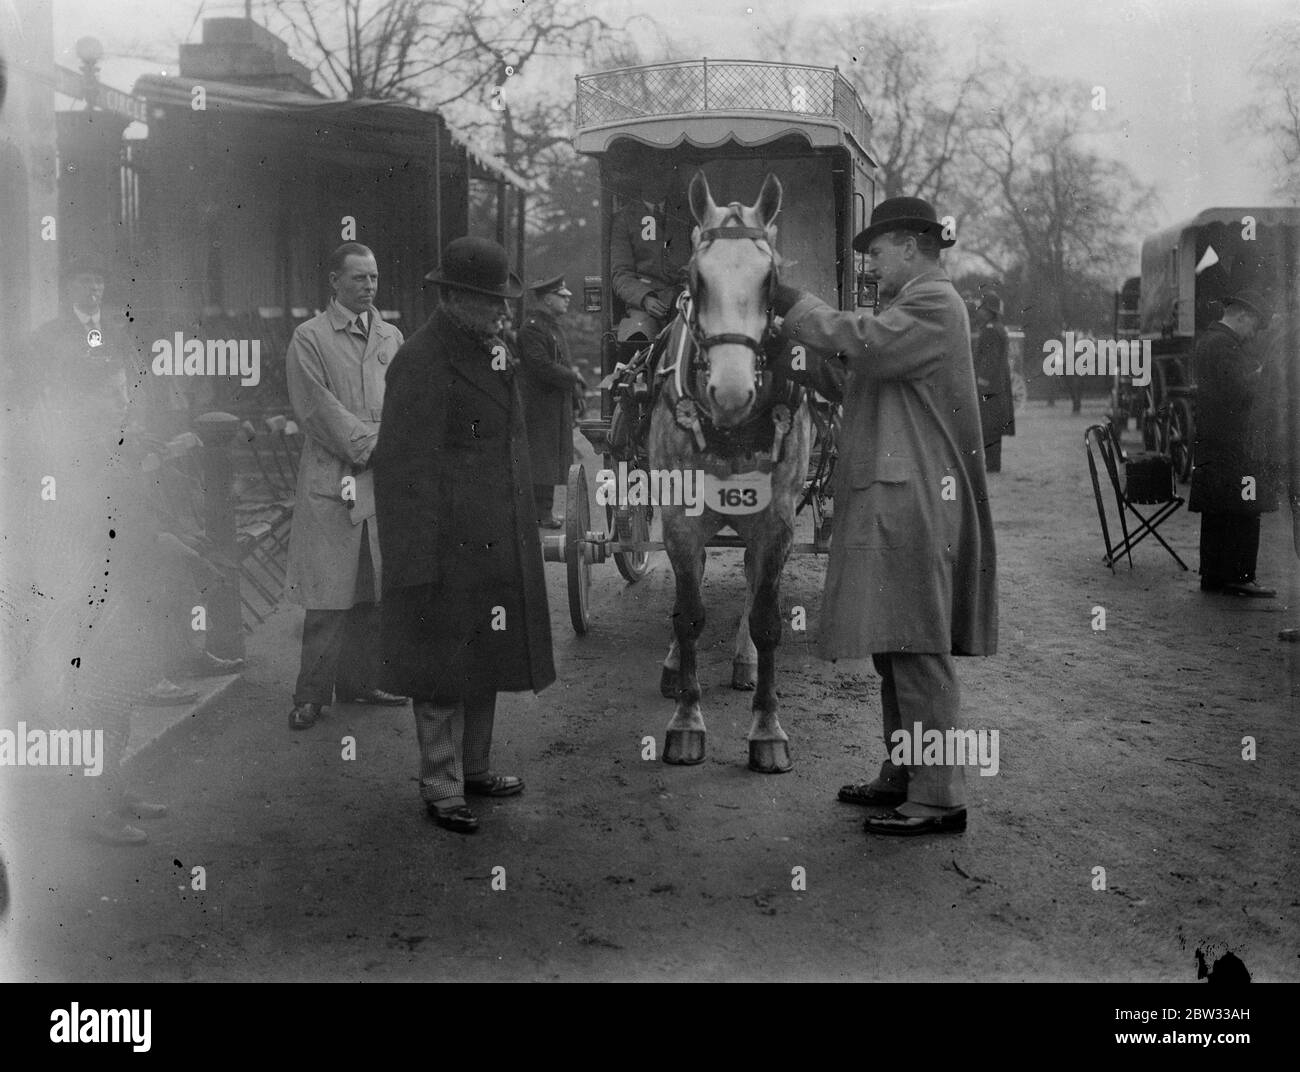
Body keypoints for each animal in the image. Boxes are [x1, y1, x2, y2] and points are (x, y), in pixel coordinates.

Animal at [655, 168, 806, 769]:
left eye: (771, 280)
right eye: (696, 277)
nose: (733, 392)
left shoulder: (776, 520)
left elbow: (766, 618)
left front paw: (767, 728)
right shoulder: (679, 516)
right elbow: (689, 613)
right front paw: (686, 720)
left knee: (747, 577)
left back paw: (743, 660)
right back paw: (675, 664)